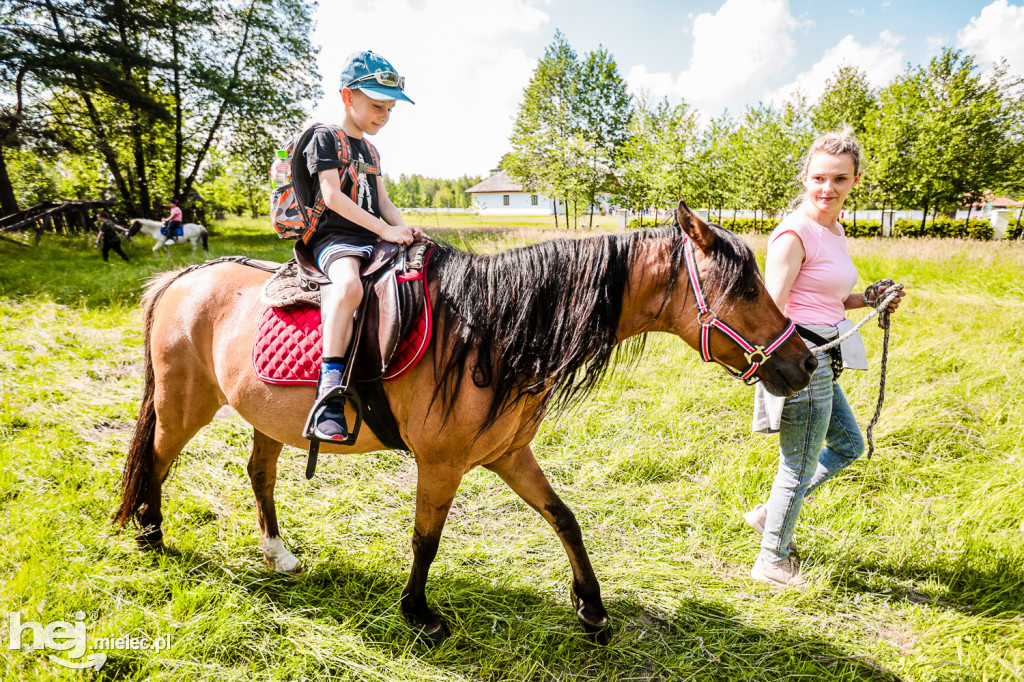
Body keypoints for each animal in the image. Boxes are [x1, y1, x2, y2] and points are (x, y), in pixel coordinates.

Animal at [114, 201, 815, 643]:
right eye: (746, 288)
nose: (806, 362)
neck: (493, 329)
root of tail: (183, 275)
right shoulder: (442, 461)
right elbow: (426, 539)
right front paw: (418, 614)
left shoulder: (508, 454)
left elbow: (565, 518)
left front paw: (590, 606)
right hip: (184, 404)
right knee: (156, 459)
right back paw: (151, 537)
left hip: (265, 416)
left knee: (257, 473)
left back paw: (277, 553)